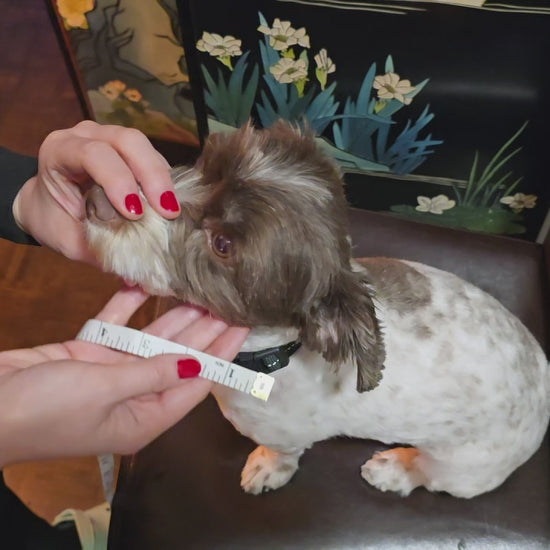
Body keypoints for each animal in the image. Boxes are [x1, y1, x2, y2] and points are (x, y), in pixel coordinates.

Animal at [85, 121, 550, 498]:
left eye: (223, 245)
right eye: (207, 164)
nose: (98, 197)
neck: (274, 356)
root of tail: (542, 378)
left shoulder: (285, 434)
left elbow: (284, 454)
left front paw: (268, 467)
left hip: (464, 468)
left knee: (431, 475)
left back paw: (396, 469)